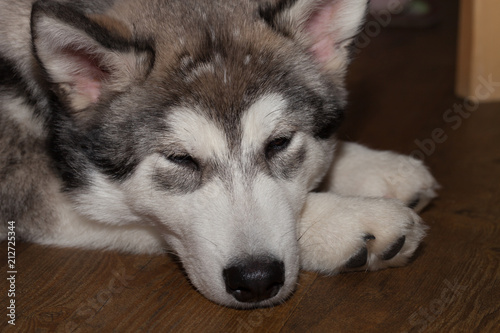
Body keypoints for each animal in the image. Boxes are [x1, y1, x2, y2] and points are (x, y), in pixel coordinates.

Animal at [0, 0, 438, 308]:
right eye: (180, 159)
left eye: (278, 142)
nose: (256, 279)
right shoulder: (27, 190)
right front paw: (348, 220)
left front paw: (375, 166)